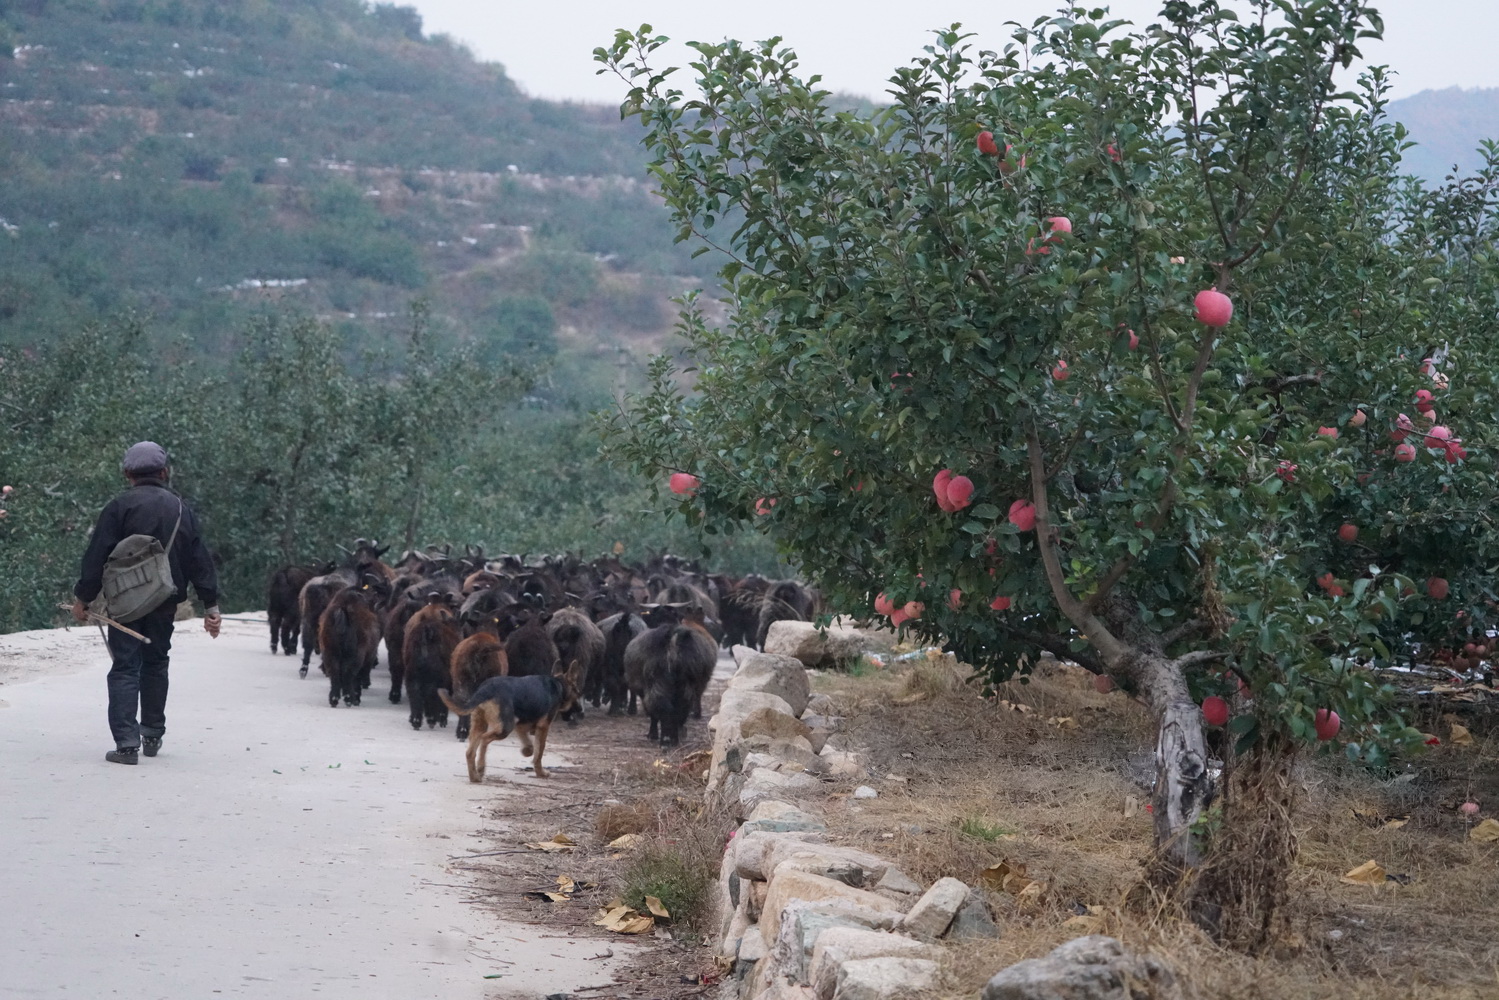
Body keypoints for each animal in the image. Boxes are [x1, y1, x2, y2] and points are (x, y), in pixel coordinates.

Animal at [437, 665, 581, 779]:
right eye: (577, 690)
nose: (580, 709)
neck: (558, 684)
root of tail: (486, 689)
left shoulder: (520, 726)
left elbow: (530, 746)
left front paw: (526, 751)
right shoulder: (543, 727)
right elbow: (539, 752)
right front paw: (541, 773)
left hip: (480, 725)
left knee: (470, 752)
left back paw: (475, 777)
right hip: (504, 728)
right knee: (484, 739)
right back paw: (481, 767)